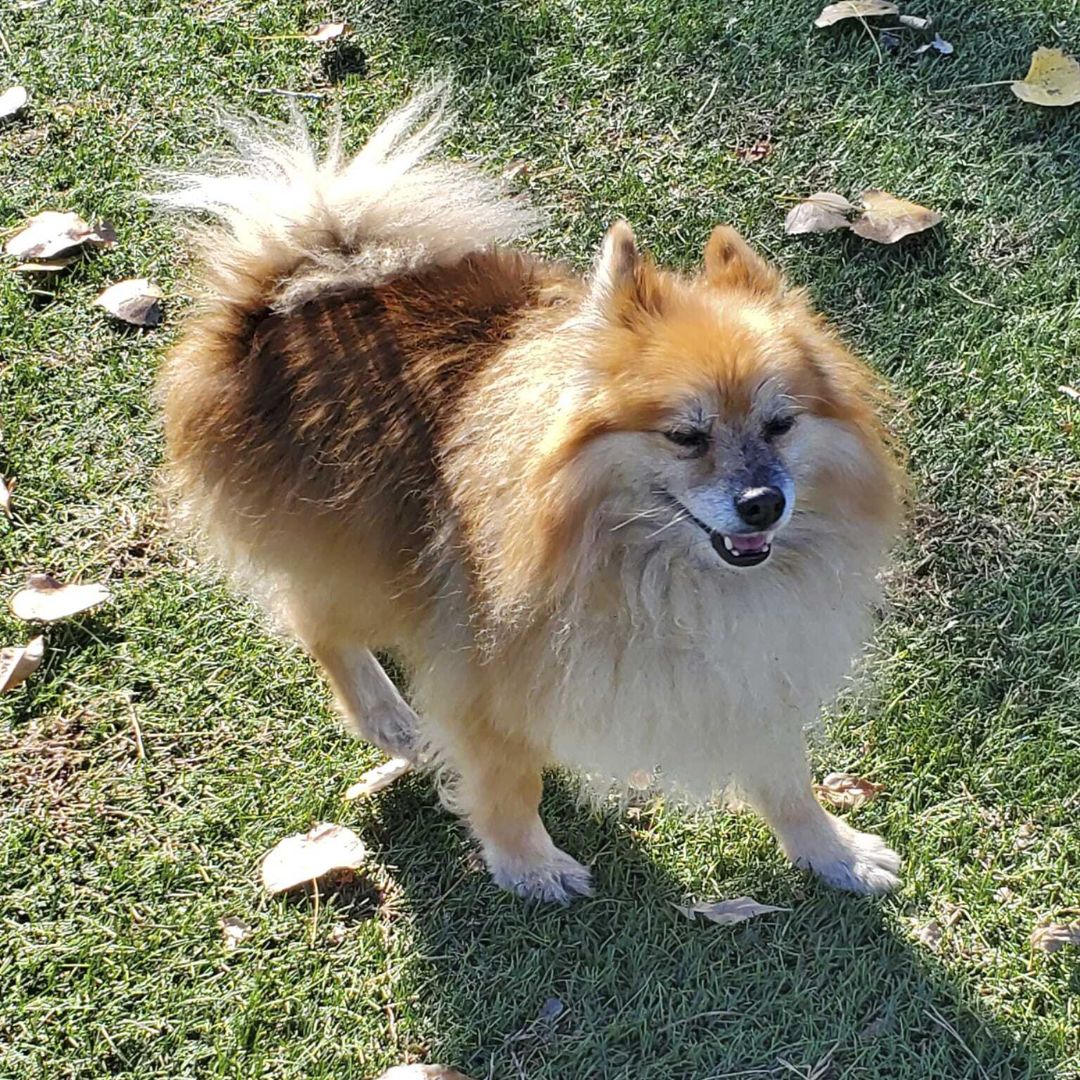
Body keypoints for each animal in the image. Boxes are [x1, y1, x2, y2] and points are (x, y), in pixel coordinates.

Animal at [157, 86, 902, 902]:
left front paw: (832, 853)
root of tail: (288, 292)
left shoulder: (750, 671)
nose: (764, 502)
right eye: (686, 436)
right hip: (351, 548)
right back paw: (385, 715)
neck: (652, 572)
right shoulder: (487, 676)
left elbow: (786, 779)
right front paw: (528, 865)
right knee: (316, 618)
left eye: (780, 424)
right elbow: (509, 782)